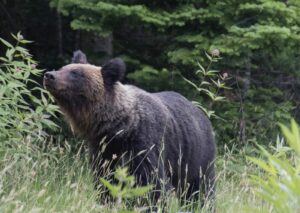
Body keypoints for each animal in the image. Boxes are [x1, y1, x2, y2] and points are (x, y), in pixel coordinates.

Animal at [43, 50, 214, 201]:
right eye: (63, 68)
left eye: (76, 73)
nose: (49, 75)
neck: (119, 128)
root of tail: (201, 112)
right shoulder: (104, 152)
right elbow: (106, 184)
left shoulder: (144, 145)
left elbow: (152, 185)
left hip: (196, 156)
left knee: (199, 189)